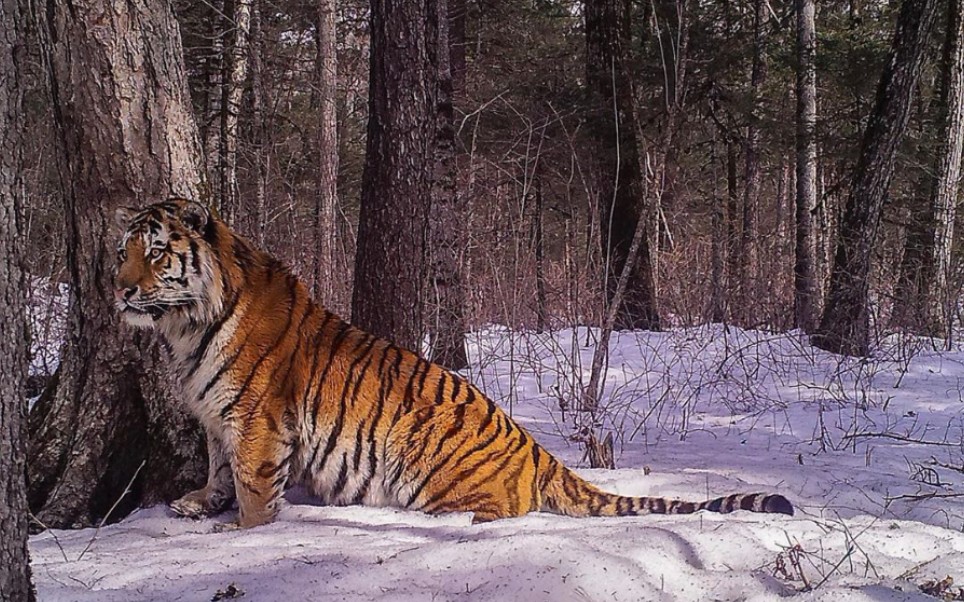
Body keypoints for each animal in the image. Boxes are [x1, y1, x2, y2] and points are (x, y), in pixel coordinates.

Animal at [111, 197, 792, 524]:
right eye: (123, 251)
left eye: (155, 252)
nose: (117, 288)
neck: (185, 328)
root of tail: (538, 451)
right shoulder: (216, 415)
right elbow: (217, 466)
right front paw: (199, 501)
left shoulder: (257, 418)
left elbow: (252, 487)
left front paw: (238, 534)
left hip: (432, 477)